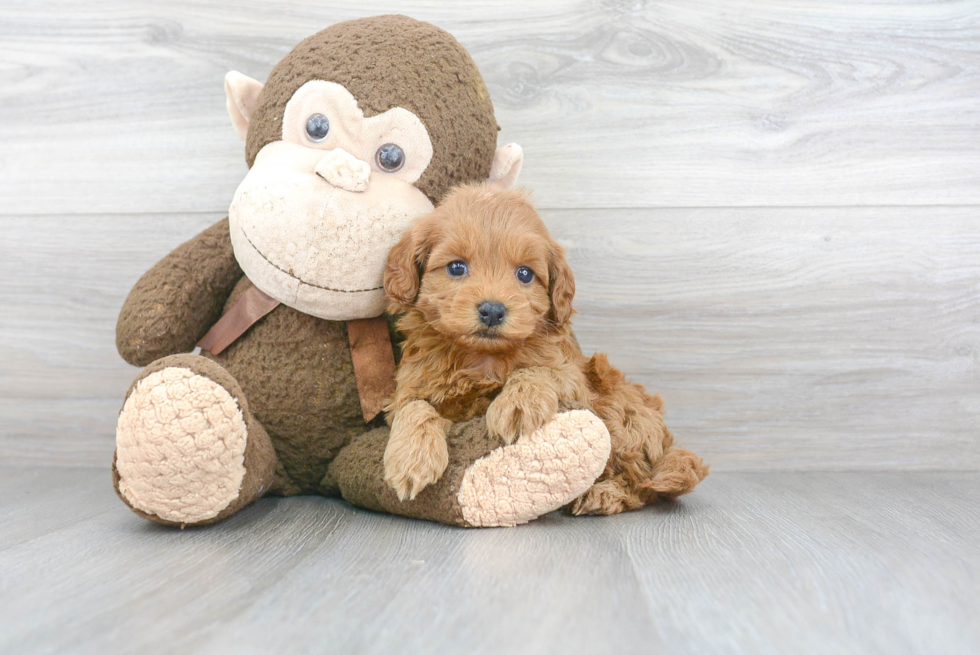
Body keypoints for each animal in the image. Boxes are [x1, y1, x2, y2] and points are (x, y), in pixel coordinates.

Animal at [378, 183, 708, 512]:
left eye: (525, 274)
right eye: (456, 267)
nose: (493, 311)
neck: (483, 357)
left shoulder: (574, 378)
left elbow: (537, 370)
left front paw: (518, 404)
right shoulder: (412, 386)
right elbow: (414, 408)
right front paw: (412, 459)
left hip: (618, 412)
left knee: (640, 482)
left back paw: (603, 494)